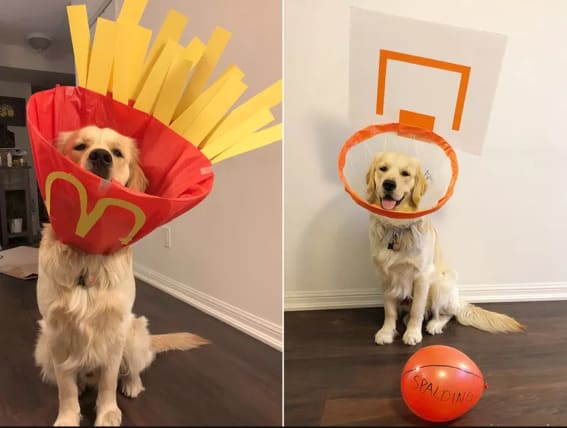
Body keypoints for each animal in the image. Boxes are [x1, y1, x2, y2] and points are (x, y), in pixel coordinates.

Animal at [34, 125, 210, 426]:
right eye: (80, 146)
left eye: (116, 153)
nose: (100, 156)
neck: (88, 258)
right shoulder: (56, 332)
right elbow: (66, 387)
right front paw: (68, 417)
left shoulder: (115, 330)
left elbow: (108, 380)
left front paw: (107, 413)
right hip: (42, 346)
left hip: (134, 330)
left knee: (133, 369)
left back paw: (131, 385)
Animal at [366, 152, 524, 346]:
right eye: (383, 169)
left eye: (405, 174)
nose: (388, 184)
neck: (396, 227)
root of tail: (458, 300)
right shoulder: (385, 275)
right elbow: (389, 310)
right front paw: (386, 332)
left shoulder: (422, 276)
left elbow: (417, 310)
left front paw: (412, 333)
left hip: (439, 284)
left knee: (447, 314)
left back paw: (434, 324)